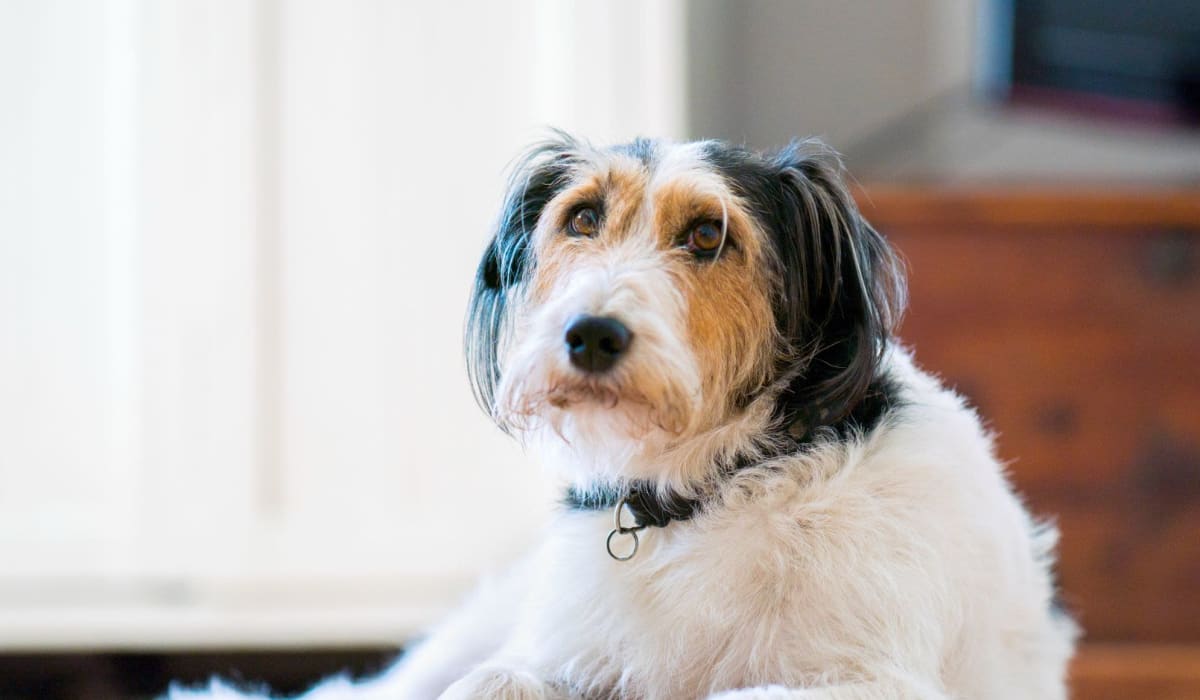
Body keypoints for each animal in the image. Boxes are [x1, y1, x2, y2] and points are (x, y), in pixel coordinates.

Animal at [171, 134, 1080, 696]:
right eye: (581, 218)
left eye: (709, 234)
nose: (590, 334)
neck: (703, 495)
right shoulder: (556, 652)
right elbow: (496, 681)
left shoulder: (866, 677)